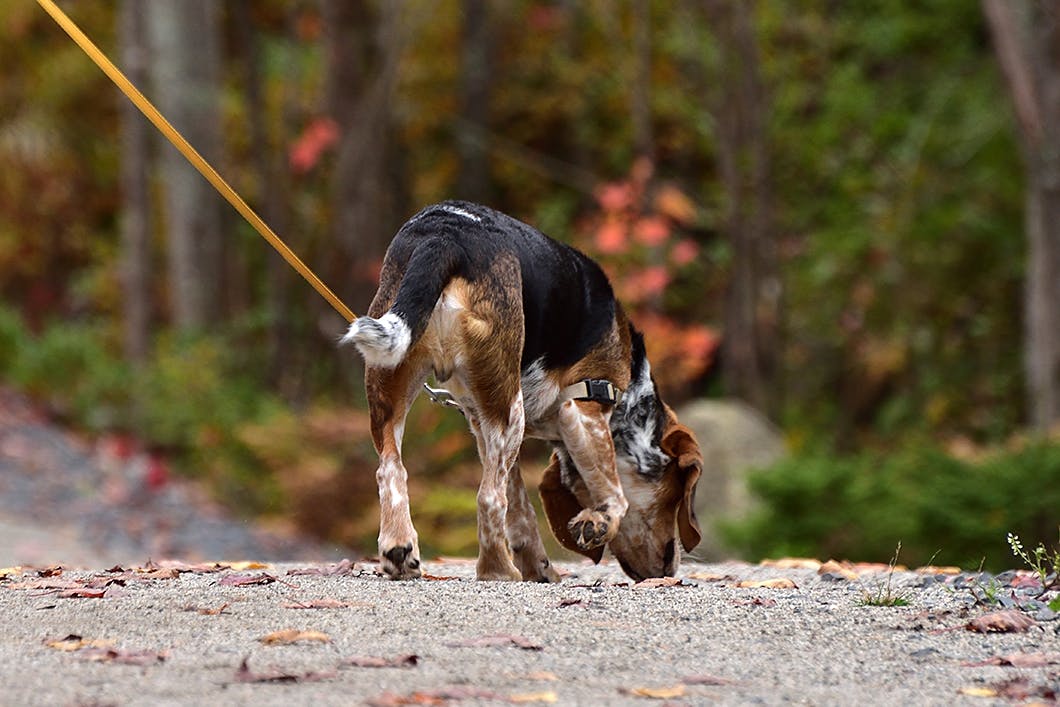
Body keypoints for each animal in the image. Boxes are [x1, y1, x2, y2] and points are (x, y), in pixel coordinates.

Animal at [341, 200, 703, 580]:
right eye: (677, 495)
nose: (669, 570)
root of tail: (444, 235)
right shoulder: (583, 408)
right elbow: (615, 496)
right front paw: (597, 522)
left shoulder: (482, 423)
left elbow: (520, 512)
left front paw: (540, 568)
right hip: (509, 412)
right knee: (487, 498)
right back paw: (497, 571)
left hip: (398, 386)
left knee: (392, 471)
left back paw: (400, 549)